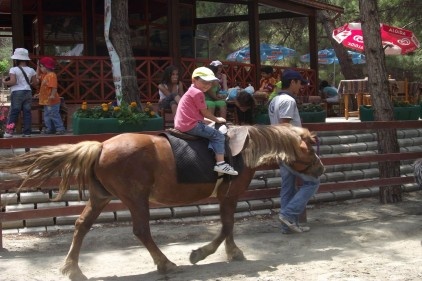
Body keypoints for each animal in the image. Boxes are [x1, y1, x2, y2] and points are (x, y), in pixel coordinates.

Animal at [0, 123, 324, 278]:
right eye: (310, 149)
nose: (320, 169)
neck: (243, 148)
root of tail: (101, 146)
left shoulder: (227, 196)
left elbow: (227, 227)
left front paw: (230, 252)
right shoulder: (229, 194)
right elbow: (226, 226)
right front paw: (204, 253)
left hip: (101, 197)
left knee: (81, 225)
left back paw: (73, 269)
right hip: (135, 198)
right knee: (141, 231)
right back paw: (166, 264)